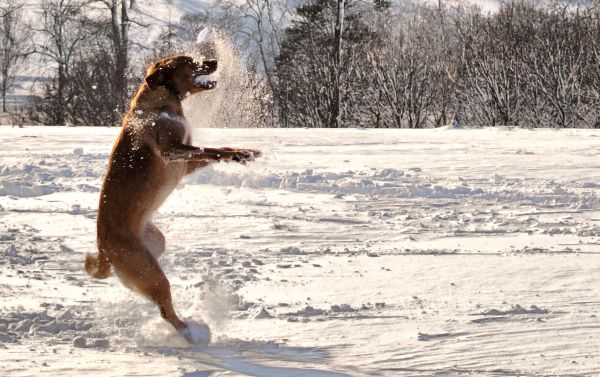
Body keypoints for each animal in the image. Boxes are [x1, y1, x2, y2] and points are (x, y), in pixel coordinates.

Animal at [85, 55, 260, 340]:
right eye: (189, 61)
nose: (213, 60)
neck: (163, 98)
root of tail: (103, 251)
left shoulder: (185, 164)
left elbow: (218, 150)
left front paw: (243, 153)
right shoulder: (171, 151)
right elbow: (209, 149)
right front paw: (237, 154)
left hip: (154, 245)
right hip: (150, 271)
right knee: (166, 310)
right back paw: (191, 332)